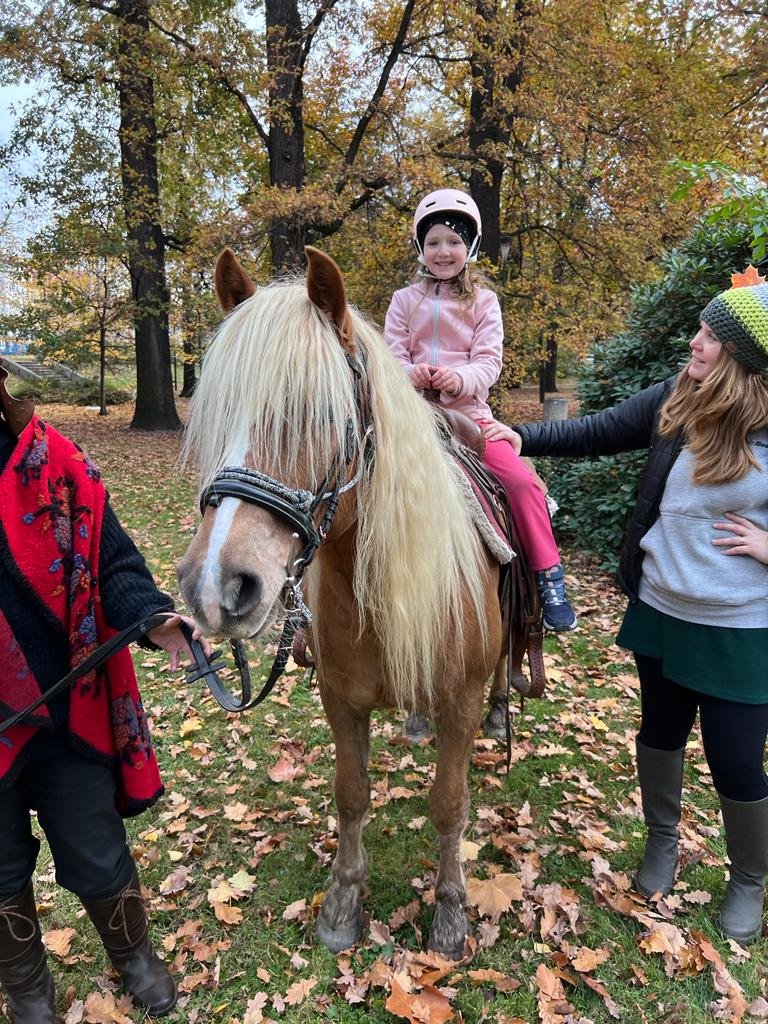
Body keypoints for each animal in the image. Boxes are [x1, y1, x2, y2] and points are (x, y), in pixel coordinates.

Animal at [177, 246, 506, 958]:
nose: (217, 585)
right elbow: (352, 795)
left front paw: (450, 911)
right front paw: (344, 903)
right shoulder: (342, 701)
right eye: (215, 414)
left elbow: (450, 802)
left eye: (323, 415)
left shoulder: (461, 700)